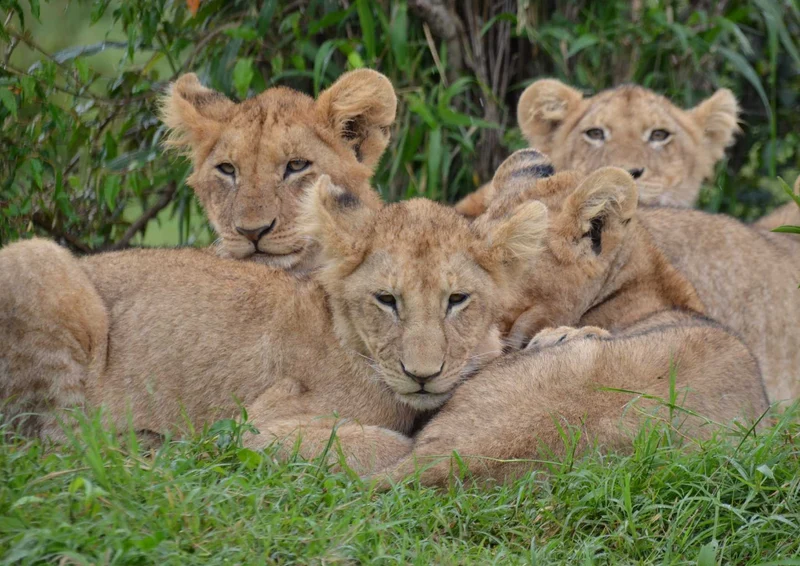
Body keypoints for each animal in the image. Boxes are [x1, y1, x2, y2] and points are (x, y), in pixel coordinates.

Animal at [0, 175, 547, 474]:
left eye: (457, 300)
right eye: (387, 300)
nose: (423, 374)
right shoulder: (254, 427)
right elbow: (379, 443)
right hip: (36, 258)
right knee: (54, 439)